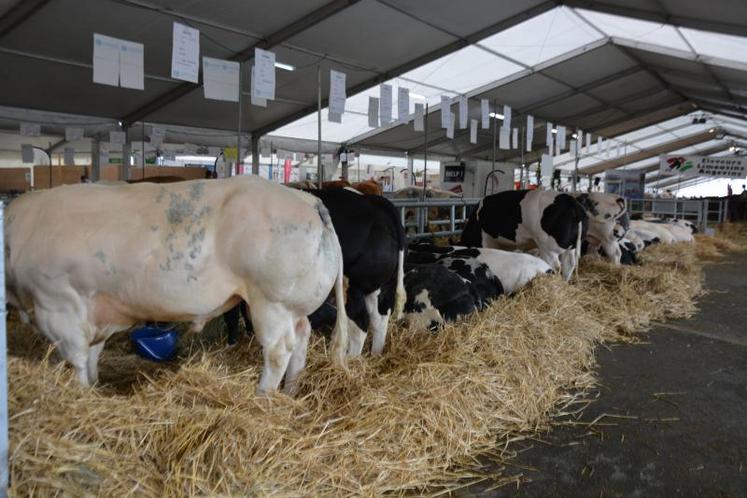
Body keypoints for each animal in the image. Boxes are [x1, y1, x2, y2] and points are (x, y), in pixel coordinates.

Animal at [4, 175, 350, 392]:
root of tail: (307, 198)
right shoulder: (95, 308)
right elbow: (91, 354)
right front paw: (92, 387)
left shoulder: (57, 303)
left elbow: (76, 358)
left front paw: (80, 394)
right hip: (294, 305)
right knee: (302, 340)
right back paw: (289, 392)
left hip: (271, 302)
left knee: (279, 351)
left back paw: (263, 395)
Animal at [225, 188, 406, 358]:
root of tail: (375, 202)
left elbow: (232, 315)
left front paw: (232, 343)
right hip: (378, 286)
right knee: (380, 316)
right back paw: (375, 354)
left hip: (354, 286)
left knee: (360, 319)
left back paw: (350, 359)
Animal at [458, 189, 588, 280]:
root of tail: (569, 199)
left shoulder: (485, 240)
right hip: (570, 248)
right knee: (569, 265)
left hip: (548, 248)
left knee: (555, 266)